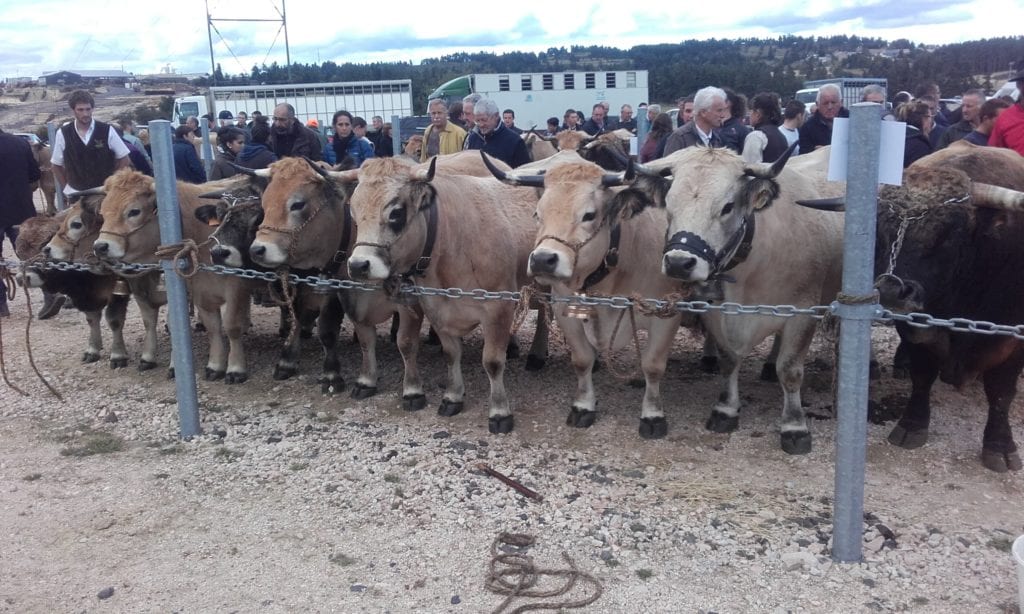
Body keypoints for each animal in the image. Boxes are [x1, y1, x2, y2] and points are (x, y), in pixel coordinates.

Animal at [92, 169, 260, 380]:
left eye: (134, 211)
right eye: (102, 213)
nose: (100, 246)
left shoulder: (236, 287)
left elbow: (231, 326)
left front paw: (236, 368)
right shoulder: (197, 291)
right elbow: (211, 327)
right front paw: (214, 365)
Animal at [337, 151, 544, 433]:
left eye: (396, 213)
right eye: (354, 211)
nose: (359, 265)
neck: (452, 241)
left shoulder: (497, 308)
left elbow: (492, 361)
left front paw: (500, 412)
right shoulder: (436, 307)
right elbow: (450, 354)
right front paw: (452, 397)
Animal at [483, 153, 692, 437]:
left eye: (589, 214)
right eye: (538, 213)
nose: (542, 260)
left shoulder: (667, 315)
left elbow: (653, 365)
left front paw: (652, 415)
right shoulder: (566, 312)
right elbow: (582, 360)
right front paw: (583, 406)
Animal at [630, 145, 847, 456]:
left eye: (727, 206)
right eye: (669, 206)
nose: (679, 263)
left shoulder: (803, 312)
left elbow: (790, 370)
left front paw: (794, 426)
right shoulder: (716, 312)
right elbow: (729, 361)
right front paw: (726, 409)